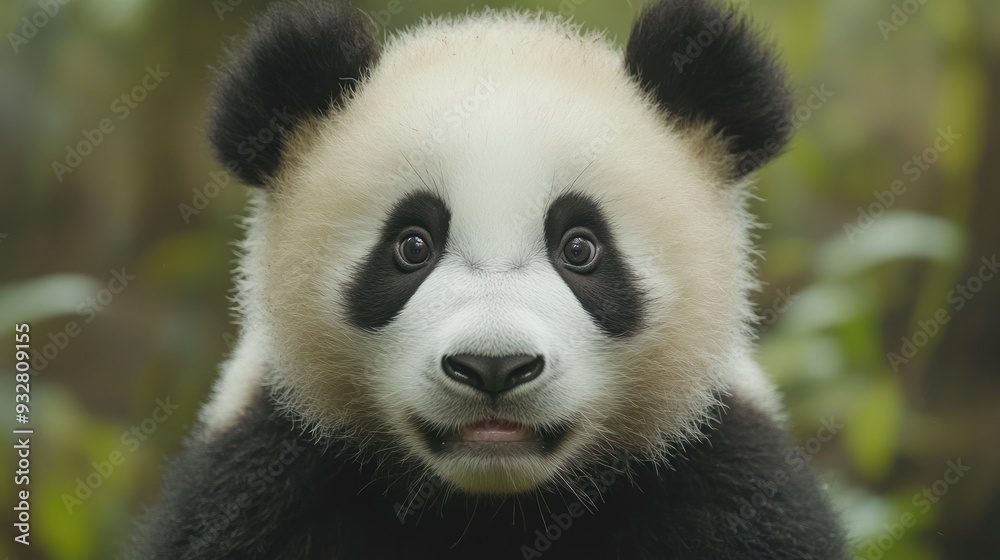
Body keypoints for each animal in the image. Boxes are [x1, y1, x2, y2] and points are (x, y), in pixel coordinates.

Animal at [130, 0, 847, 558]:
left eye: (580, 248)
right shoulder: (266, 477)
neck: (494, 508)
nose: (493, 366)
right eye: (411, 247)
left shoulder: (722, 480)